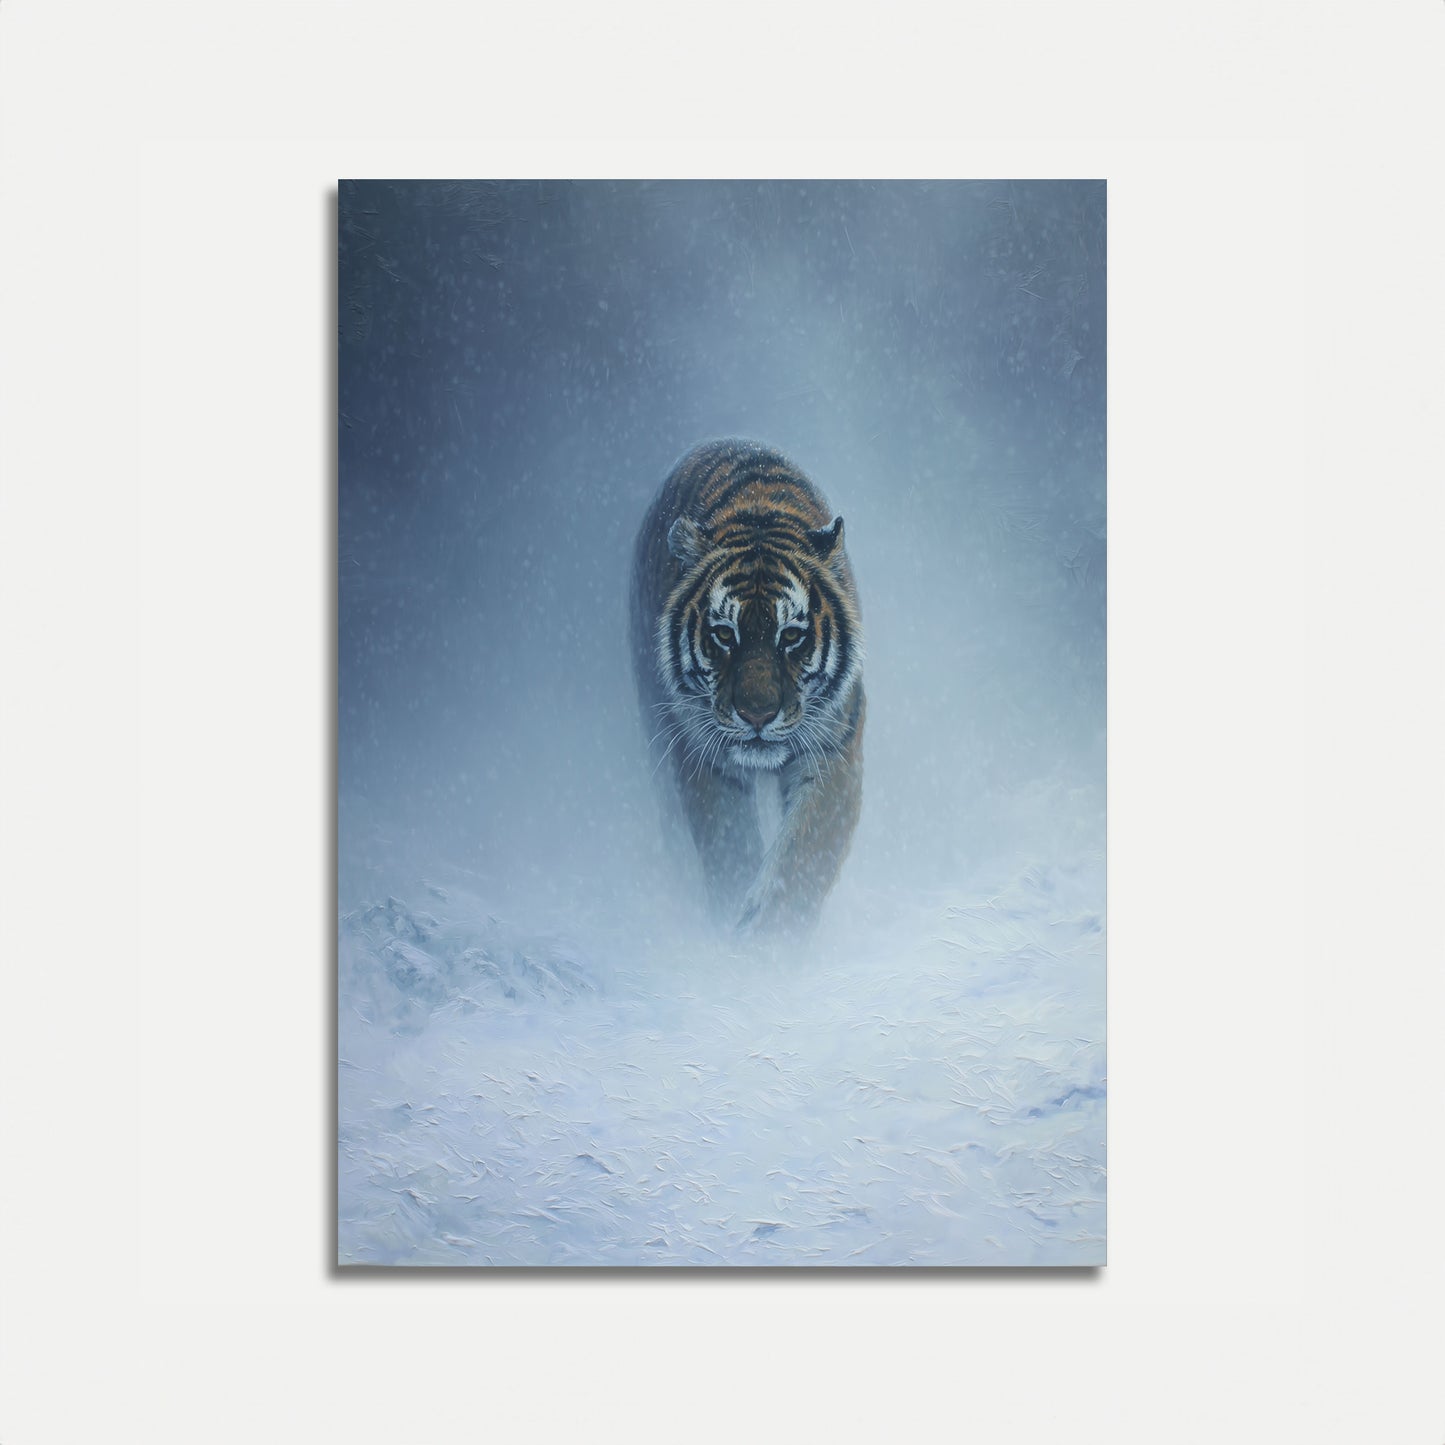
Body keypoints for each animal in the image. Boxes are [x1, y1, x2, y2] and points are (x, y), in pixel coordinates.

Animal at [630, 439, 865, 936]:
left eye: (791, 636)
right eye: (724, 634)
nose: (757, 714)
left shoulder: (833, 751)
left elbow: (804, 858)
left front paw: (771, 941)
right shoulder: (703, 757)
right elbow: (728, 847)